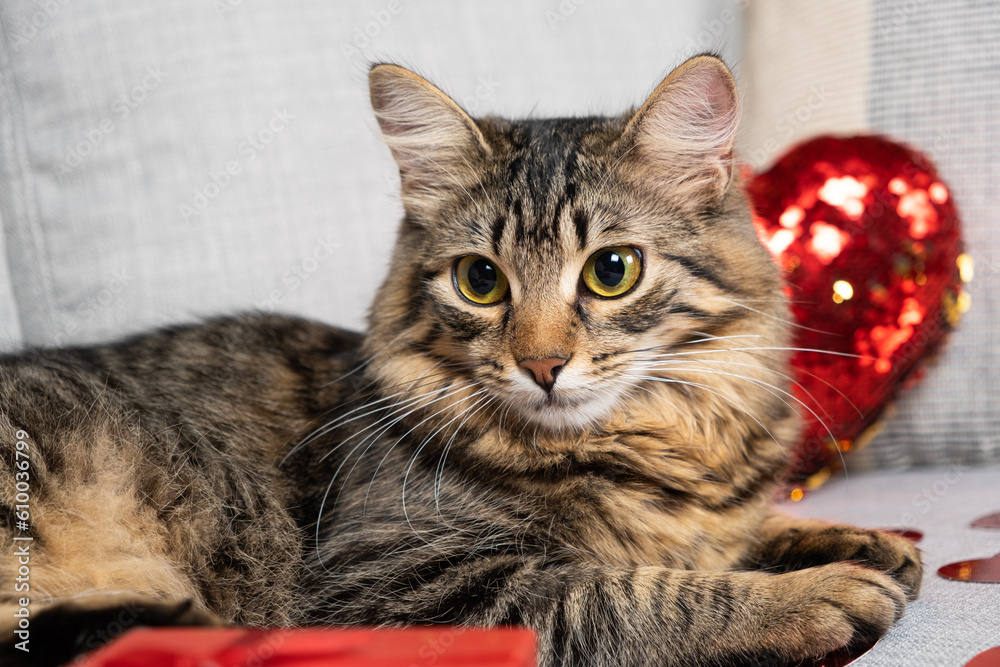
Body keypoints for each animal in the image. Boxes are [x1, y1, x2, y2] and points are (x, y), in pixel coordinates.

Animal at [1, 57, 920, 667]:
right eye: (481, 281)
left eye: (612, 270)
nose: (544, 364)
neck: (658, 440)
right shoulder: (404, 580)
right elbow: (629, 591)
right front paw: (821, 590)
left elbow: (743, 535)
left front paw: (863, 539)